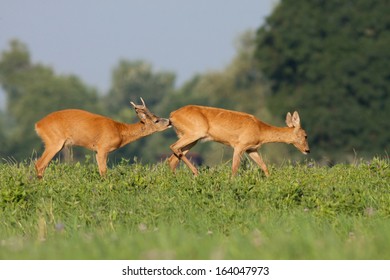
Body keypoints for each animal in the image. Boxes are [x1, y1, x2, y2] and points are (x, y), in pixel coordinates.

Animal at [35, 98, 171, 177]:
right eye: (156, 120)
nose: (169, 121)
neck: (120, 131)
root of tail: (38, 125)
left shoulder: (97, 150)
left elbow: (101, 170)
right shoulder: (103, 147)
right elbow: (104, 171)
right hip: (54, 141)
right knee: (39, 164)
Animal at [168, 106, 310, 176]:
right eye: (305, 135)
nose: (307, 150)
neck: (260, 130)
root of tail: (172, 115)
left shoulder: (251, 149)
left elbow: (264, 166)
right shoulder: (239, 146)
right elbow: (234, 168)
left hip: (192, 138)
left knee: (173, 158)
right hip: (195, 133)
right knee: (173, 147)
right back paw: (196, 172)